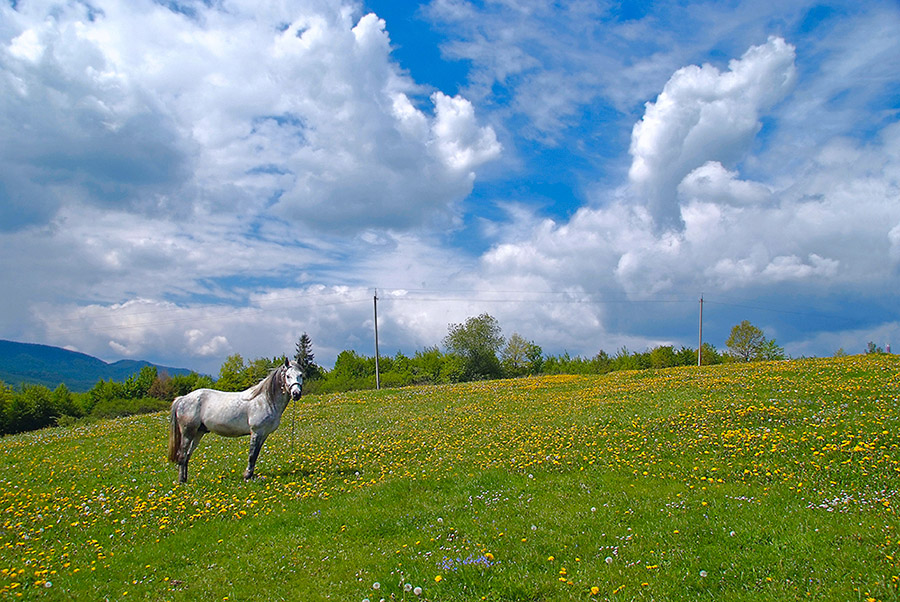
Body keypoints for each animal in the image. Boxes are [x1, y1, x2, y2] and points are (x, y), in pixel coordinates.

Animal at [163, 356, 300, 482]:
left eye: (301, 375)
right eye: (288, 376)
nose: (296, 394)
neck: (265, 400)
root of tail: (183, 398)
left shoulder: (264, 434)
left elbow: (255, 455)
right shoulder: (256, 432)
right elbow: (252, 455)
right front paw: (247, 476)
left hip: (198, 433)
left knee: (187, 455)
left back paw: (185, 479)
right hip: (188, 432)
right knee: (182, 455)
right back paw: (181, 482)